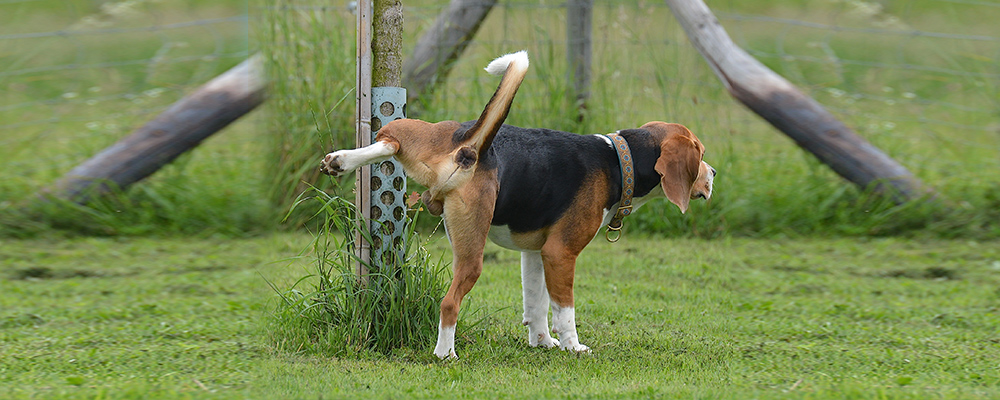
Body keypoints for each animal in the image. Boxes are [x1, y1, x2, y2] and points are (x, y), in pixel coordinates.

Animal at [316, 50, 716, 360]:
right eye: (700, 155)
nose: (713, 173)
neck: (619, 159)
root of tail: (469, 147)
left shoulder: (536, 252)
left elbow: (537, 304)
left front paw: (541, 341)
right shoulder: (560, 252)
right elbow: (564, 309)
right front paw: (572, 346)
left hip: (423, 132)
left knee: (388, 138)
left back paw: (341, 160)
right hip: (472, 254)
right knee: (449, 303)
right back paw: (446, 353)